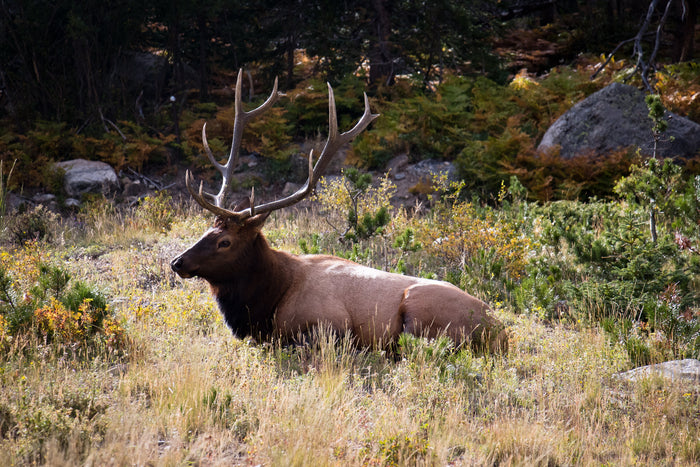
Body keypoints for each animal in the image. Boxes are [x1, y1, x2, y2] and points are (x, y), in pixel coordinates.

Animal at [170, 71, 508, 353]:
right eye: (206, 230)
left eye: (225, 242)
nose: (177, 262)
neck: (268, 301)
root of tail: (500, 332)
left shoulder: (331, 324)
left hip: (421, 311)